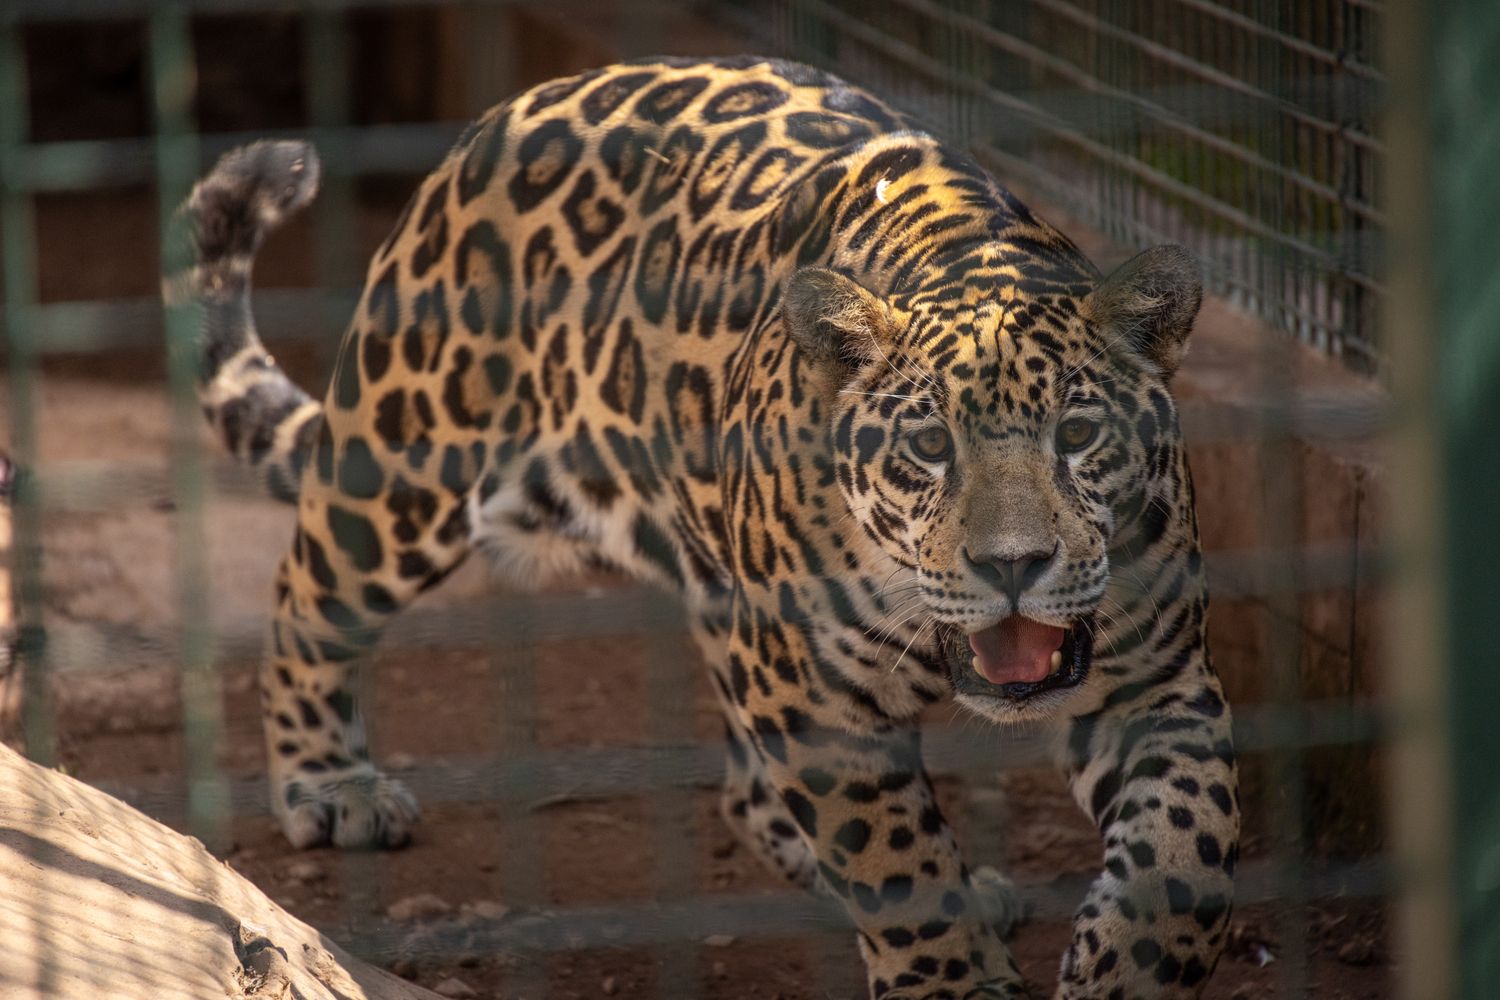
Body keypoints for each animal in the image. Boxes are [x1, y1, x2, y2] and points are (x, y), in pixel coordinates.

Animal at [166, 56, 1239, 999]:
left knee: (752, 780)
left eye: (1078, 433)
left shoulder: (1158, 680)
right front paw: (950, 980)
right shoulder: (815, 696)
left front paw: (1122, 971)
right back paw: (330, 786)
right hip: (406, 456)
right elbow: (895, 867)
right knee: (307, 599)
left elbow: (1183, 856)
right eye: (930, 445)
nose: (1013, 565)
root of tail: (519, 107)